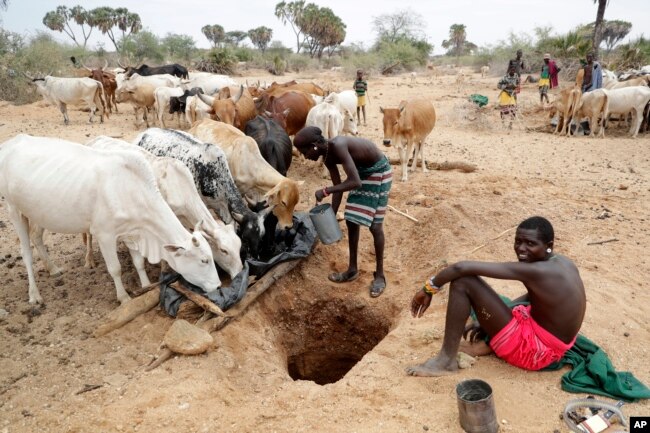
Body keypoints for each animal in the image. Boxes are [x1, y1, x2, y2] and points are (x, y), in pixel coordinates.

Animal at [0, 135, 220, 304]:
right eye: (204, 260)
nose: (218, 285)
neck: (130, 189)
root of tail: (11, 142)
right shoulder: (104, 234)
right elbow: (115, 269)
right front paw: (123, 297)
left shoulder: (133, 232)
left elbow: (139, 262)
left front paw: (146, 285)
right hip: (13, 209)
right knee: (26, 253)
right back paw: (34, 295)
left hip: (36, 213)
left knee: (37, 238)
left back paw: (53, 269)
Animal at [83, 135, 240, 276]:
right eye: (224, 250)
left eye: (239, 246)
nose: (239, 273)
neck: (180, 186)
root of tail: (94, 140)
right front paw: (164, 269)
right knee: (89, 235)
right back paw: (89, 260)